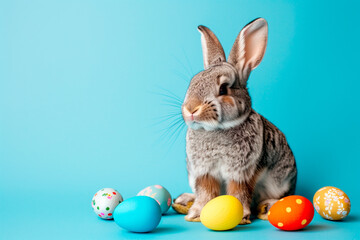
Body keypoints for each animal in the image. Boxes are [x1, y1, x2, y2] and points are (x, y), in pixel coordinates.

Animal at [172, 17, 298, 224]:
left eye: (223, 88)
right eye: (192, 83)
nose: (191, 109)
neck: (216, 130)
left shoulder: (242, 173)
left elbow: (239, 192)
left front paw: (241, 216)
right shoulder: (204, 172)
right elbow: (206, 192)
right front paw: (196, 213)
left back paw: (267, 207)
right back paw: (184, 200)